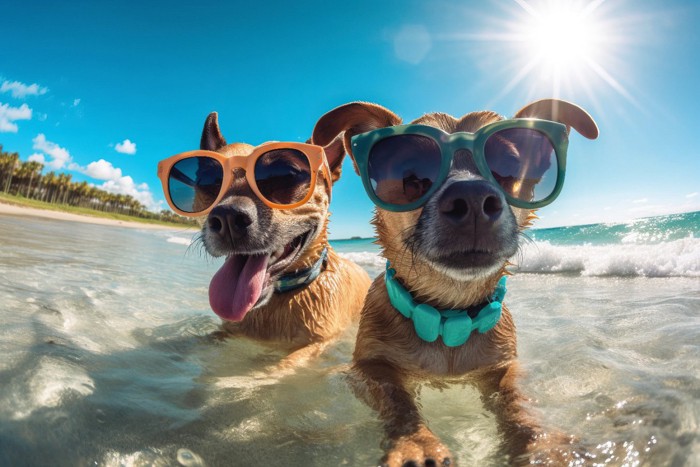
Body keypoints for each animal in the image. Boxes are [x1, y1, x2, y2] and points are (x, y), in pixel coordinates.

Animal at [159, 112, 372, 366]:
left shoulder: (316, 345)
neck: (281, 297)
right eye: (208, 181)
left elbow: (276, 368)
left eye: (286, 175)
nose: (228, 218)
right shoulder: (225, 330)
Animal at [314, 98, 600, 464]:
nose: (472, 197)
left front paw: (540, 442)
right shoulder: (366, 368)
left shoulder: (503, 366)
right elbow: (397, 398)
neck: (448, 315)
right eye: (410, 173)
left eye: (509, 164)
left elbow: (514, 399)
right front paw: (415, 443)